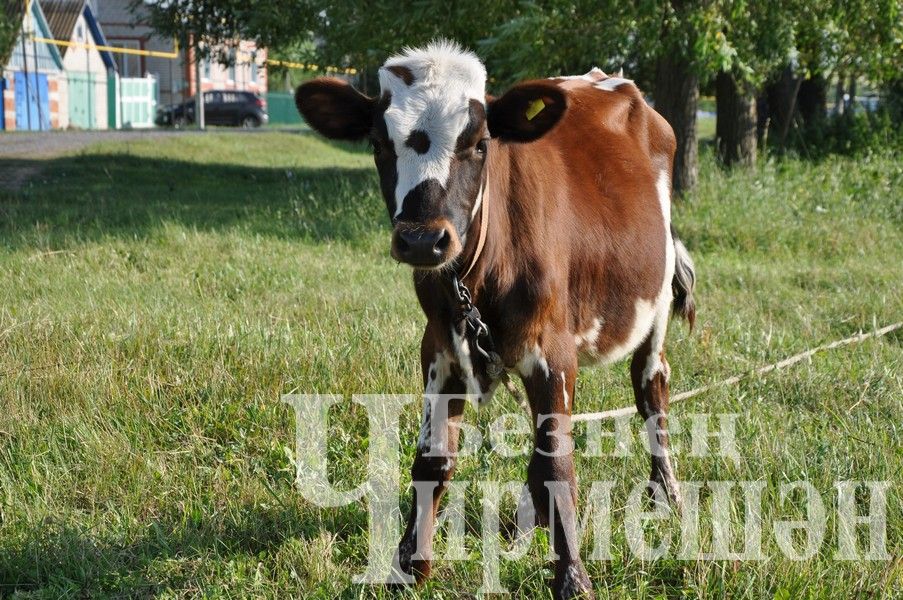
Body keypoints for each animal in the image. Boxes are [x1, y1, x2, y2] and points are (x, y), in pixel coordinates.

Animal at [296, 42, 700, 600]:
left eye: (480, 142)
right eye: (378, 143)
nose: (422, 240)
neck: (479, 277)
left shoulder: (552, 351)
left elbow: (558, 462)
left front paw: (572, 577)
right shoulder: (440, 348)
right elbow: (433, 459)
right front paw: (407, 565)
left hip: (653, 305)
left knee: (651, 389)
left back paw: (667, 496)